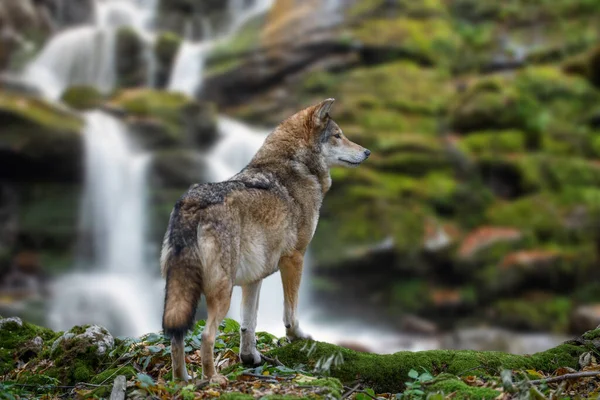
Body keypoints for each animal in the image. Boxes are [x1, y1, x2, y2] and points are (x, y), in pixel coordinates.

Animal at [163, 99, 370, 384]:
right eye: (338, 135)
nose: (367, 152)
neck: (295, 166)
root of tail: (192, 204)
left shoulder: (254, 278)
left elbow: (248, 324)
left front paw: (250, 358)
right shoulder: (294, 258)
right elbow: (290, 311)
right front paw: (297, 337)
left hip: (183, 291)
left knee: (176, 336)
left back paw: (183, 380)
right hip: (222, 292)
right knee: (206, 335)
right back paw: (212, 379)